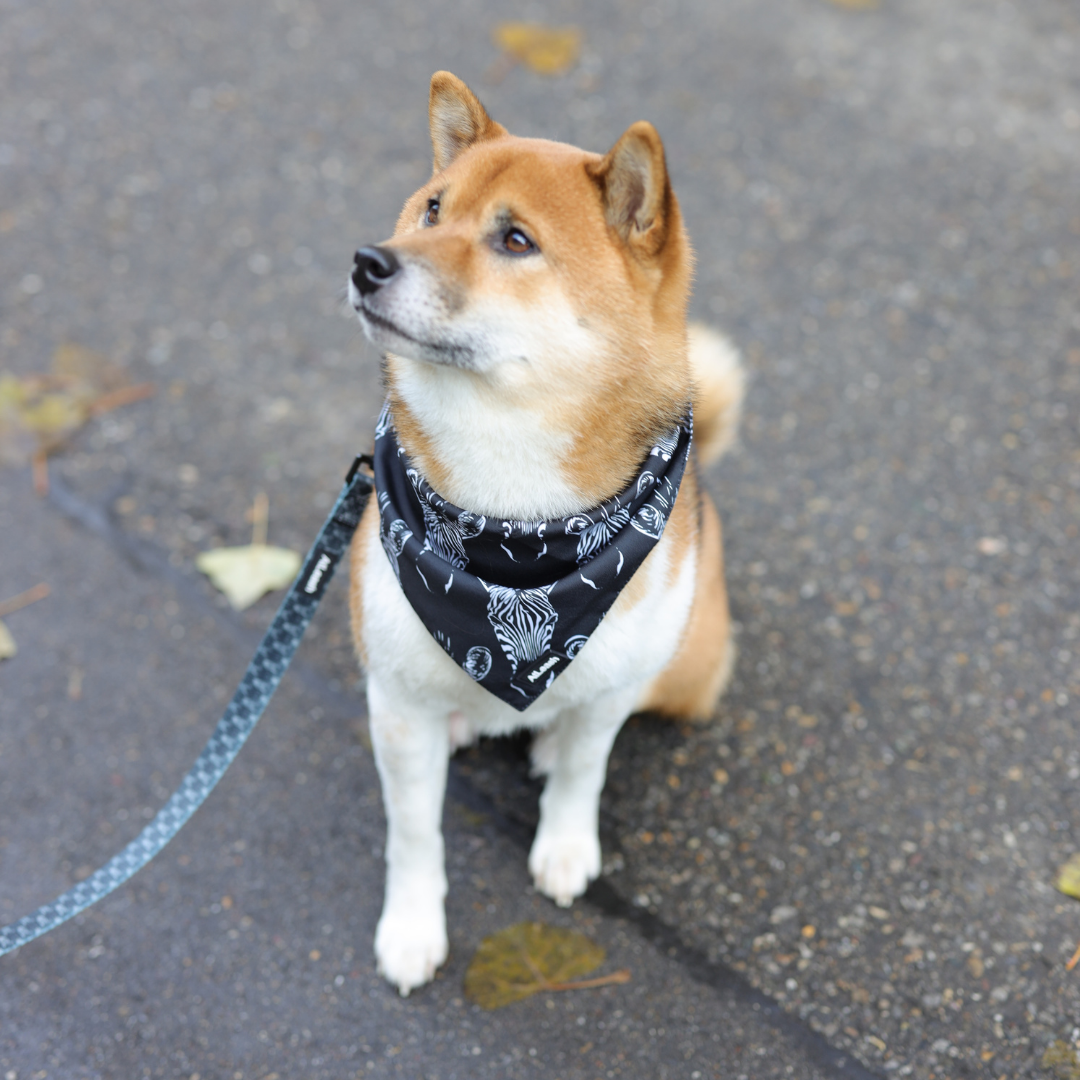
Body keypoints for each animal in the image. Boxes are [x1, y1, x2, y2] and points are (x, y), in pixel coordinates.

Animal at [345, 71, 743, 989]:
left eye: (516, 240)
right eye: (430, 209)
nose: (367, 262)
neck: (513, 531)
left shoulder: (613, 684)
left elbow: (586, 772)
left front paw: (565, 846)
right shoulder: (397, 706)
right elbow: (413, 834)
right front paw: (411, 928)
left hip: (687, 665)